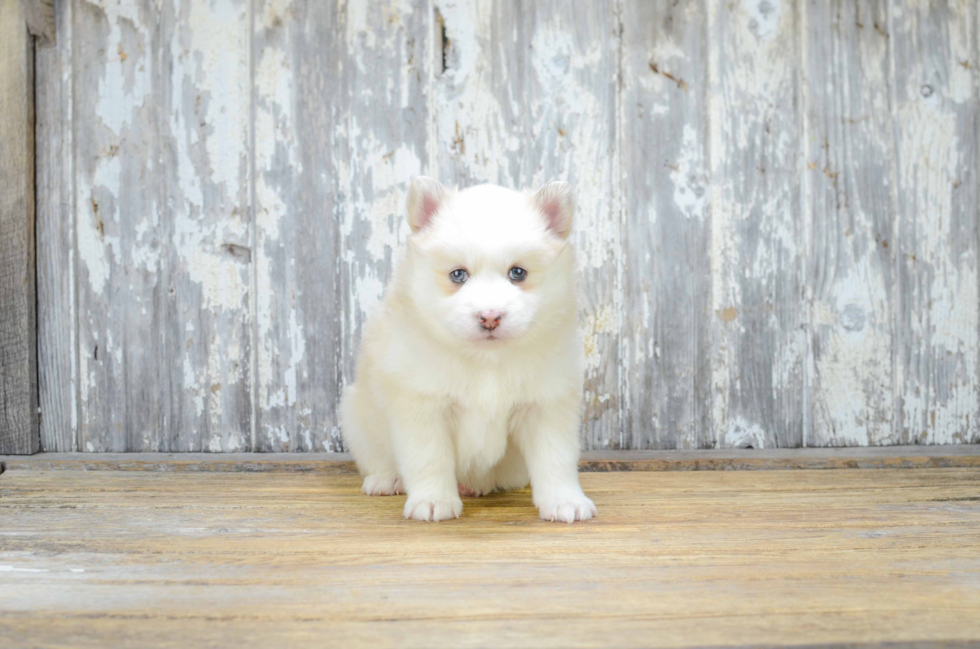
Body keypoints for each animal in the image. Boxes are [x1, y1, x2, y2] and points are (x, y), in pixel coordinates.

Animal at [340, 176, 592, 520]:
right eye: (458, 274)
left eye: (518, 273)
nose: (490, 317)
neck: (486, 359)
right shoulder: (423, 406)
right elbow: (429, 458)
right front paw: (433, 500)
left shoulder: (546, 405)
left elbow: (556, 458)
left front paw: (565, 501)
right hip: (357, 417)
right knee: (378, 457)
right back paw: (386, 480)